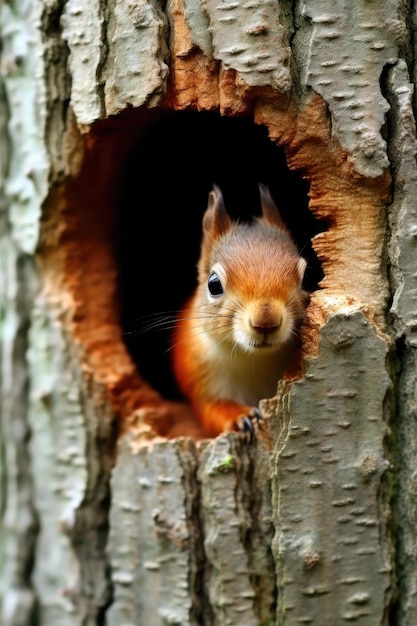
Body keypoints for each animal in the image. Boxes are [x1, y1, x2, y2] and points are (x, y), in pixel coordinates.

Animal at [170, 185, 308, 436]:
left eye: (305, 278)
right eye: (213, 285)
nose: (265, 321)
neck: (252, 359)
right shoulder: (199, 376)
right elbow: (212, 410)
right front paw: (240, 415)